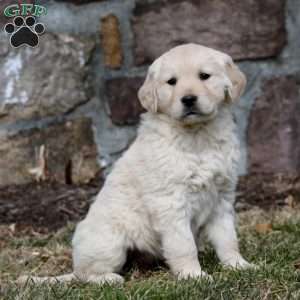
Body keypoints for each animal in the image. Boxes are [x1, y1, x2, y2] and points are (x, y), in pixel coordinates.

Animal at [19, 43, 252, 284]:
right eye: (172, 82)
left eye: (204, 76)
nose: (188, 99)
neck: (198, 136)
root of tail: (73, 268)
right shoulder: (171, 202)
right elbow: (184, 245)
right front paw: (193, 276)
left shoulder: (222, 197)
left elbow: (228, 238)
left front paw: (238, 266)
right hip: (109, 243)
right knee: (87, 274)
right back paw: (108, 279)